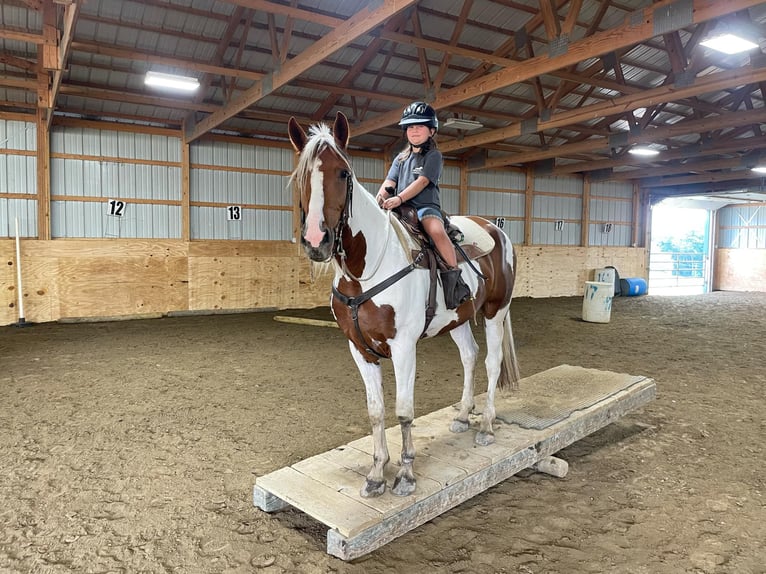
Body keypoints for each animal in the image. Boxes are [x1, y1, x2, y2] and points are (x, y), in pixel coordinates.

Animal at [287, 111, 521, 498]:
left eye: (344, 173)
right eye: (301, 176)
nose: (317, 241)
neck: (365, 271)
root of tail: (496, 230)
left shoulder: (403, 348)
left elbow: (403, 411)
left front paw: (406, 475)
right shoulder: (359, 350)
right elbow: (376, 411)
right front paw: (376, 474)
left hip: (494, 312)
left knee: (491, 362)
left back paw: (486, 426)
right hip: (458, 319)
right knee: (470, 356)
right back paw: (462, 416)